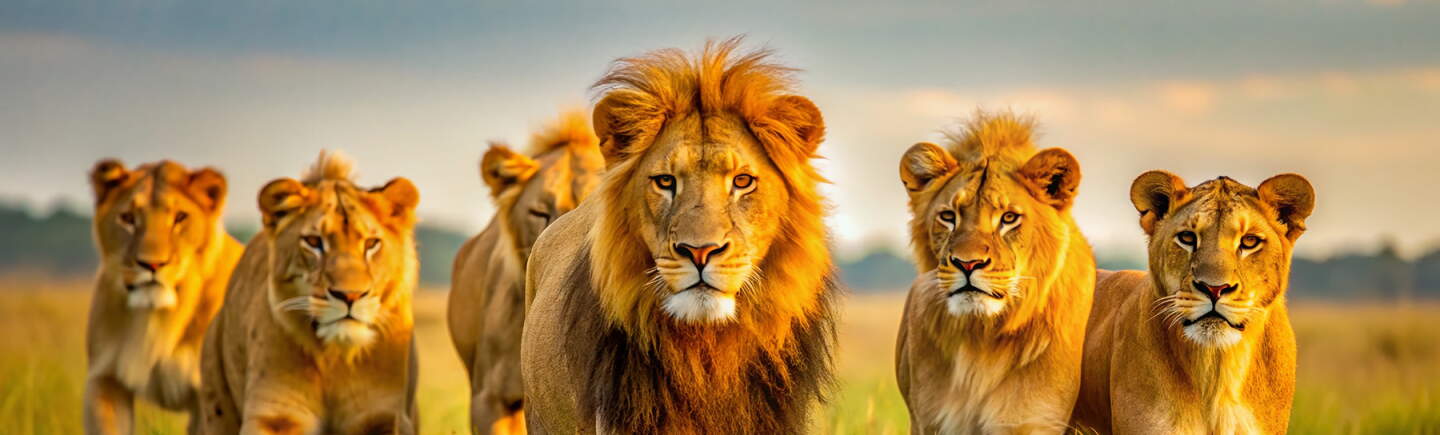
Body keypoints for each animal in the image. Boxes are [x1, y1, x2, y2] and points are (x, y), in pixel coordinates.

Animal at [84, 159, 244, 434]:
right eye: (128, 218)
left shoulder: (209, 396)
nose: (152, 264)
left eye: (180, 217)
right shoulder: (105, 379)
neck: (156, 318)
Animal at [199, 151, 422, 434]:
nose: (350, 296)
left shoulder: (384, 416)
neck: (335, 361)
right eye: (314, 242)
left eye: (371, 244)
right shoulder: (275, 415)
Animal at [893, 112, 1096, 434]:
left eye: (1009, 218)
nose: (967, 264)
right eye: (948, 216)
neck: (980, 337)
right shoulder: (930, 420)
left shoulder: (1030, 419)